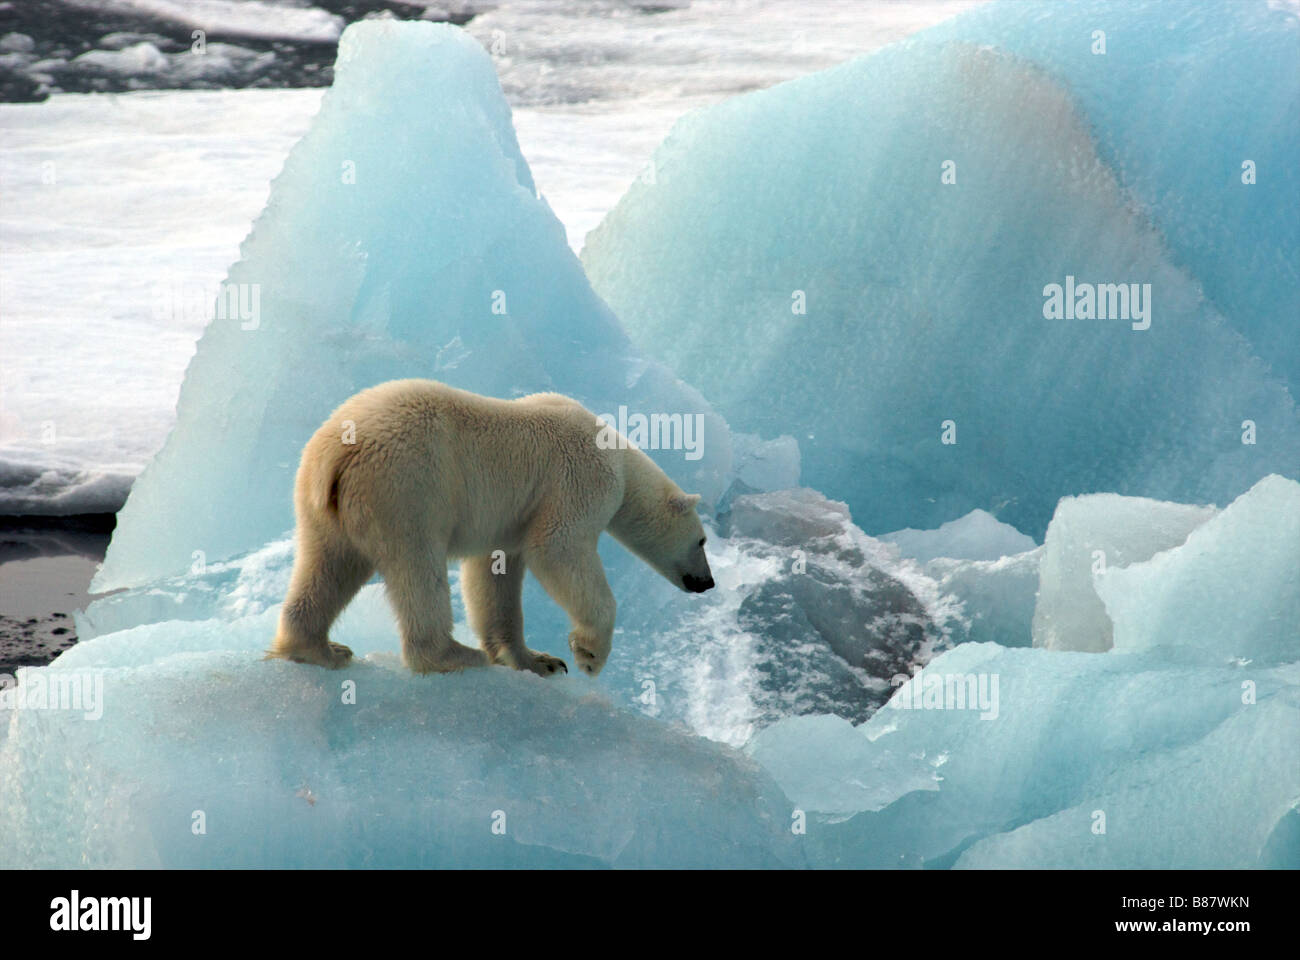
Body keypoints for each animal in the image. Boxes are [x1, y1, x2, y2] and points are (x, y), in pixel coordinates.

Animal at [263, 377, 712, 676]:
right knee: (418, 569)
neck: (619, 456)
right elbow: (558, 548)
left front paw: (538, 661)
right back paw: (451, 654)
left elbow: (494, 575)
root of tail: (339, 452)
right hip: (409, 488)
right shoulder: (578, 479)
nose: (707, 583)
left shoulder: (508, 521)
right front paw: (587, 654)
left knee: (327, 566)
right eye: (703, 540)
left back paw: (320, 649)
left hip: (321, 504)